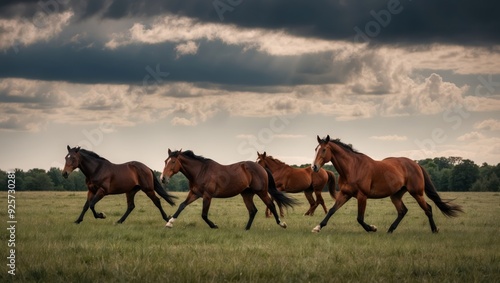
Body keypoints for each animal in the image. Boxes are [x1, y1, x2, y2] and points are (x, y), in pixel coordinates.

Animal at [160, 150, 296, 230]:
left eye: (173, 161)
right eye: (165, 161)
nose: (163, 178)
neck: (200, 171)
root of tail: (262, 168)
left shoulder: (207, 196)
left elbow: (204, 214)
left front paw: (214, 225)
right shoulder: (194, 193)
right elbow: (182, 206)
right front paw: (169, 223)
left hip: (261, 192)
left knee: (271, 205)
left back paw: (282, 224)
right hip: (247, 194)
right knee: (253, 210)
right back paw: (246, 229)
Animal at [310, 136, 462, 234]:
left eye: (323, 150)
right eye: (315, 149)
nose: (314, 167)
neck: (353, 167)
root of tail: (416, 164)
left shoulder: (362, 196)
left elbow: (360, 218)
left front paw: (372, 228)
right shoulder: (345, 194)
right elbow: (332, 210)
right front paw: (317, 227)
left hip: (417, 193)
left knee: (428, 209)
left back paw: (434, 230)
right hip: (396, 195)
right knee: (402, 211)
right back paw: (390, 230)